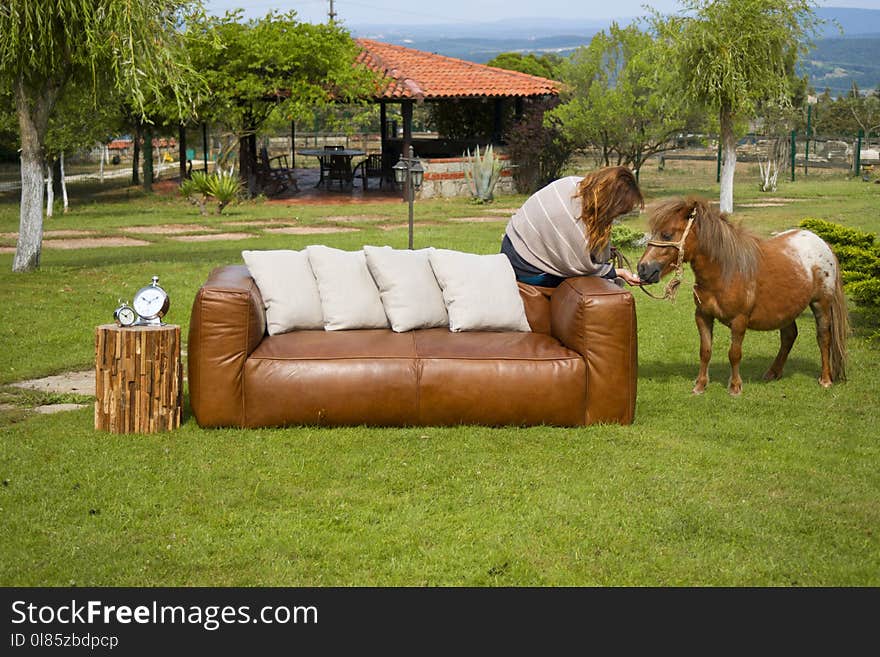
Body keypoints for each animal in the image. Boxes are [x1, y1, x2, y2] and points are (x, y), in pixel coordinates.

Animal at [636, 197, 848, 394]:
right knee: (789, 336)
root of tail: (822, 243)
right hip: (786, 308)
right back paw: (773, 372)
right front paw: (700, 385)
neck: (726, 271)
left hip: (821, 304)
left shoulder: (739, 320)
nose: (643, 269)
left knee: (823, 337)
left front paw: (735, 387)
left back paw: (825, 379)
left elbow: (734, 353)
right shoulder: (703, 316)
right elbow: (705, 351)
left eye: (667, 234)